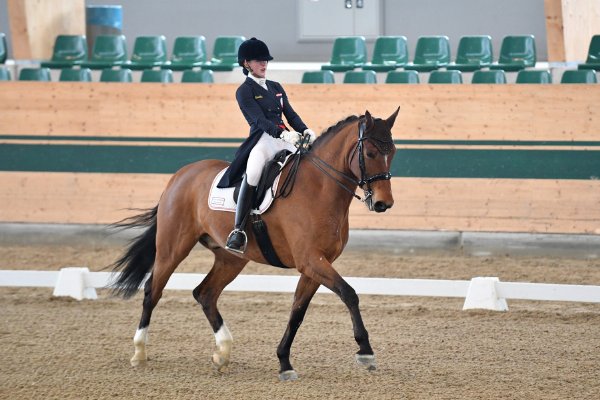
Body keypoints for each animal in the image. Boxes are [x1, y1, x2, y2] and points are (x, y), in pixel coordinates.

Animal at [113, 107, 398, 382]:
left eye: (392, 152)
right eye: (370, 153)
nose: (383, 204)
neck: (319, 188)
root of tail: (181, 174)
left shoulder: (316, 264)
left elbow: (298, 311)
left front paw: (284, 362)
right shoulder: (310, 260)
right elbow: (349, 293)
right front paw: (366, 352)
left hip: (231, 258)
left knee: (205, 293)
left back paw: (222, 353)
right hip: (173, 247)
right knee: (152, 291)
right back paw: (139, 353)